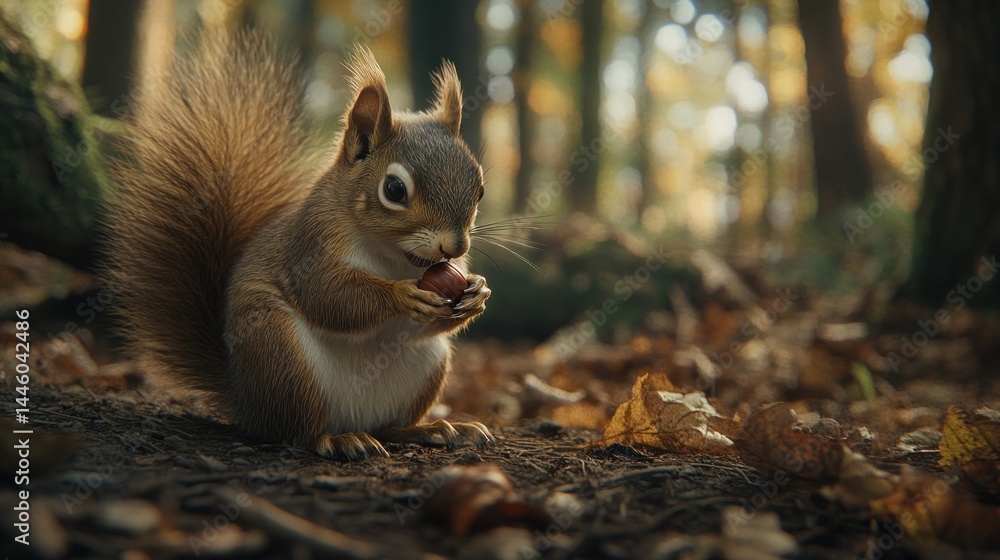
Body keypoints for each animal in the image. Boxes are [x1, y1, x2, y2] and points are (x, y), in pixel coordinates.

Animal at [103, 28, 493, 459]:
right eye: (394, 189)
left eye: (479, 188)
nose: (454, 248)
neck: (394, 257)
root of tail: (245, 399)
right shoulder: (310, 245)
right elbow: (327, 295)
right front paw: (400, 296)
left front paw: (477, 292)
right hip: (282, 355)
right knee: (297, 430)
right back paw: (338, 440)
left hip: (426, 366)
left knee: (389, 426)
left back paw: (432, 428)